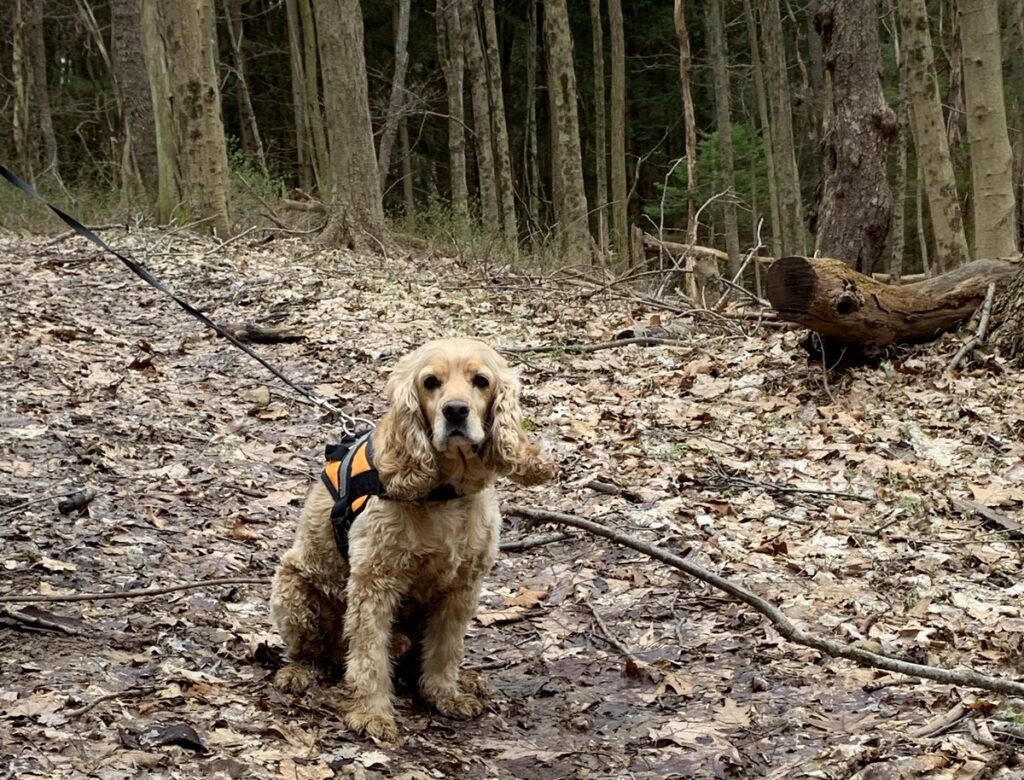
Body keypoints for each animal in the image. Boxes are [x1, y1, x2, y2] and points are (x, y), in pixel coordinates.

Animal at [268, 337, 557, 737]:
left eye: (481, 381)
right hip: (292, 588)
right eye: (431, 382)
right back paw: (298, 672)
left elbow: (445, 648)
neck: (445, 493)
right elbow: (369, 654)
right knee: (315, 652)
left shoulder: (462, 586)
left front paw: (445, 694)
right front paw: (373, 714)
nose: (455, 411)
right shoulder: (375, 580)